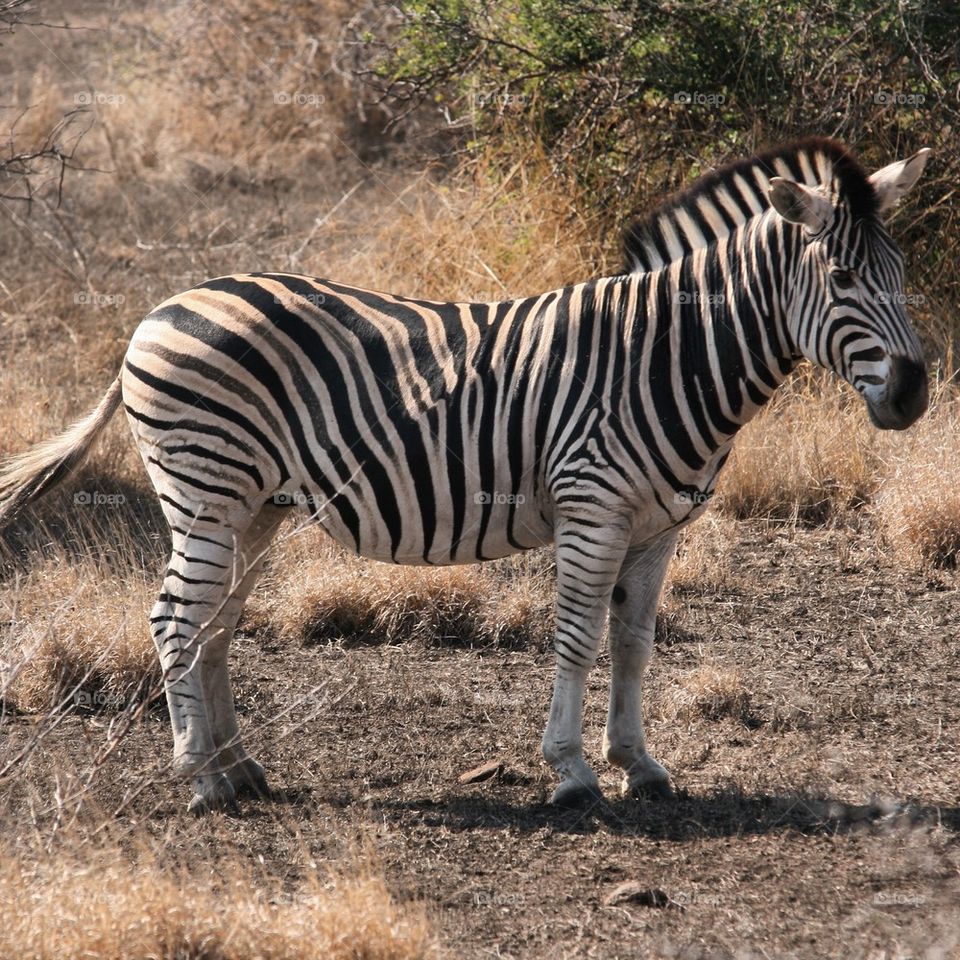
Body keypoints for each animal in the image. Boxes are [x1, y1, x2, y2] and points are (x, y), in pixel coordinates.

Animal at [0, 137, 928, 808]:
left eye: (904, 275)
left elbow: (634, 643)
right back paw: (199, 780)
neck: (667, 354)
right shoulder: (593, 509)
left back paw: (239, 768)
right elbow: (578, 637)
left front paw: (639, 763)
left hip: (252, 506)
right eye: (844, 276)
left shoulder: (659, 525)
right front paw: (571, 771)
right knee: (173, 621)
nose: (916, 392)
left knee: (216, 624)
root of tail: (158, 311)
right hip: (204, 492)